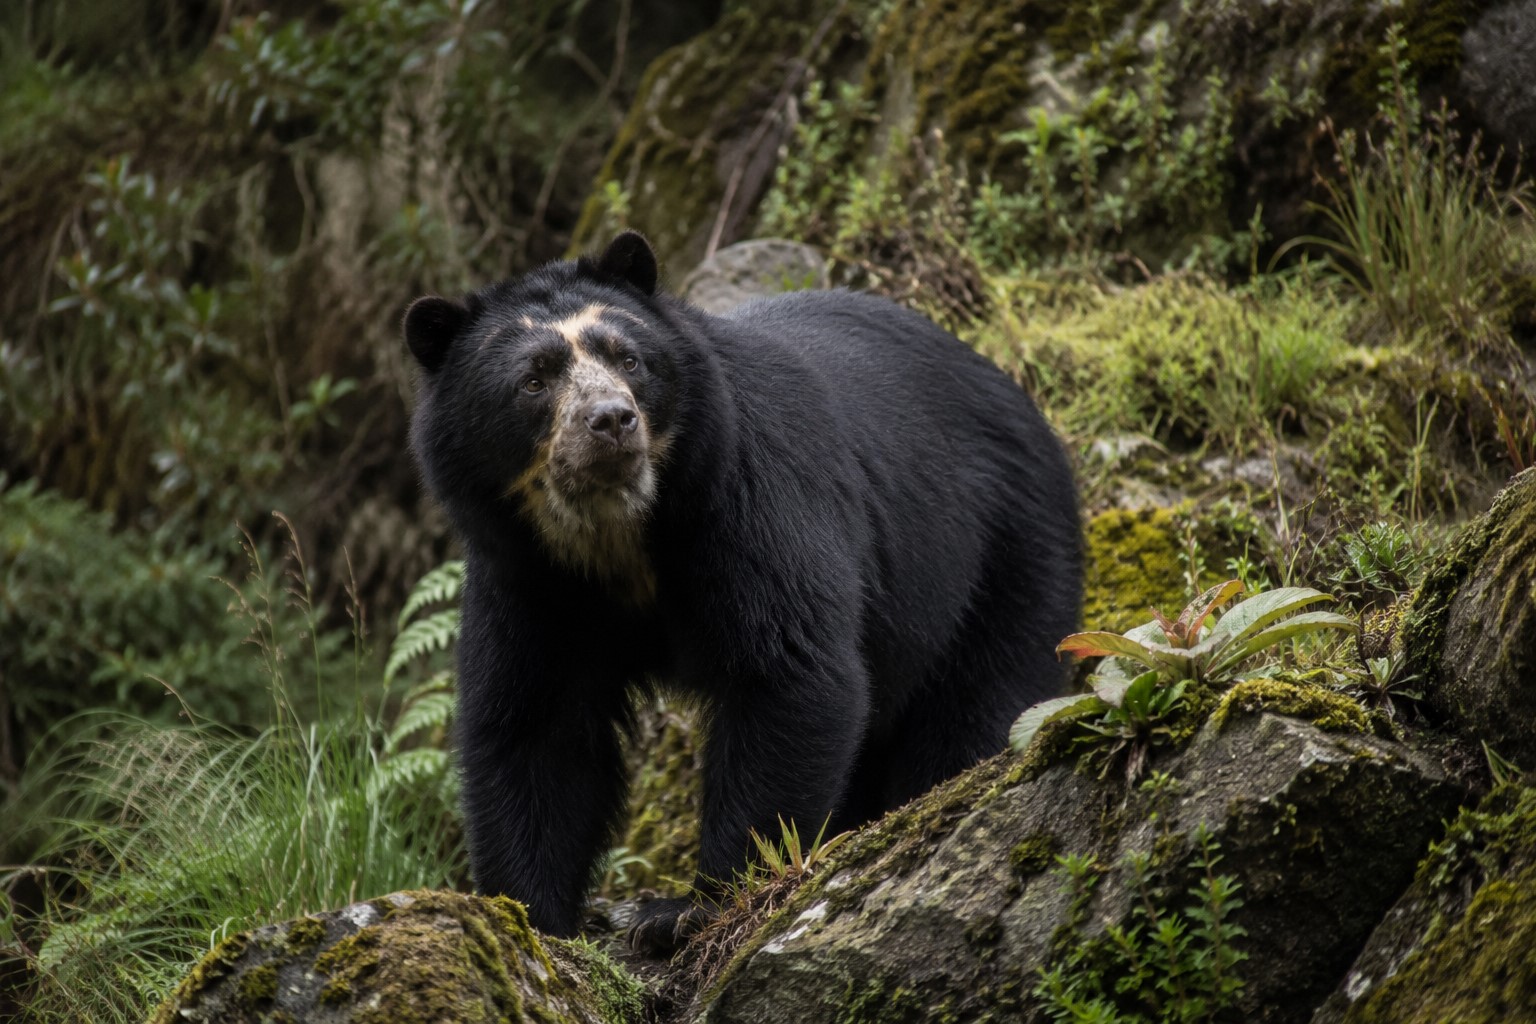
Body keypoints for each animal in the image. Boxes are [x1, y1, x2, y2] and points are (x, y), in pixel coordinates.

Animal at [403, 232, 1082, 953]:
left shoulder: (748, 497)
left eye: (629, 358)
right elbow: (536, 727)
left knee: (978, 700)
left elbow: (788, 672)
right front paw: (532, 920)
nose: (611, 421)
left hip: (1002, 550)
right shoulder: (528, 576)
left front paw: (689, 910)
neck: (620, 532)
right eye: (534, 379)